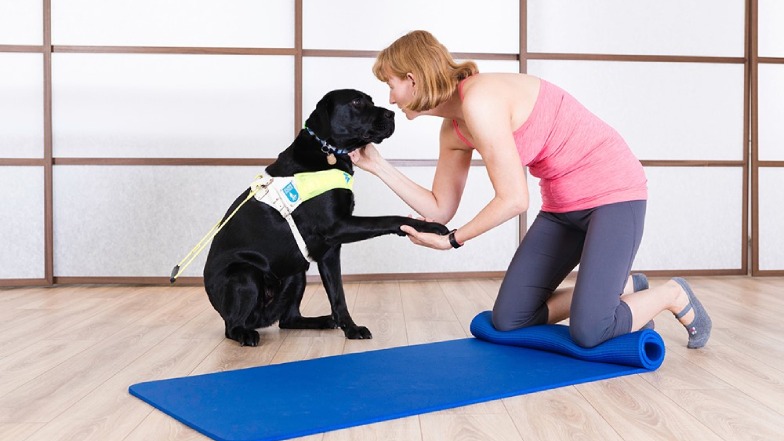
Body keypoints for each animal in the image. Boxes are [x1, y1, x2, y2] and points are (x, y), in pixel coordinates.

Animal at [203, 89, 449, 346]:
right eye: (357, 101)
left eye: (371, 101)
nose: (392, 114)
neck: (327, 152)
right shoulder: (336, 227)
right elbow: (388, 218)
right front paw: (428, 226)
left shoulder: (330, 249)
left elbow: (338, 295)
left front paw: (350, 328)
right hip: (244, 274)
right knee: (232, 326)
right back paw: (245, 333)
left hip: (296, 273)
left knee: (288, 319)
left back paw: (323, 321)